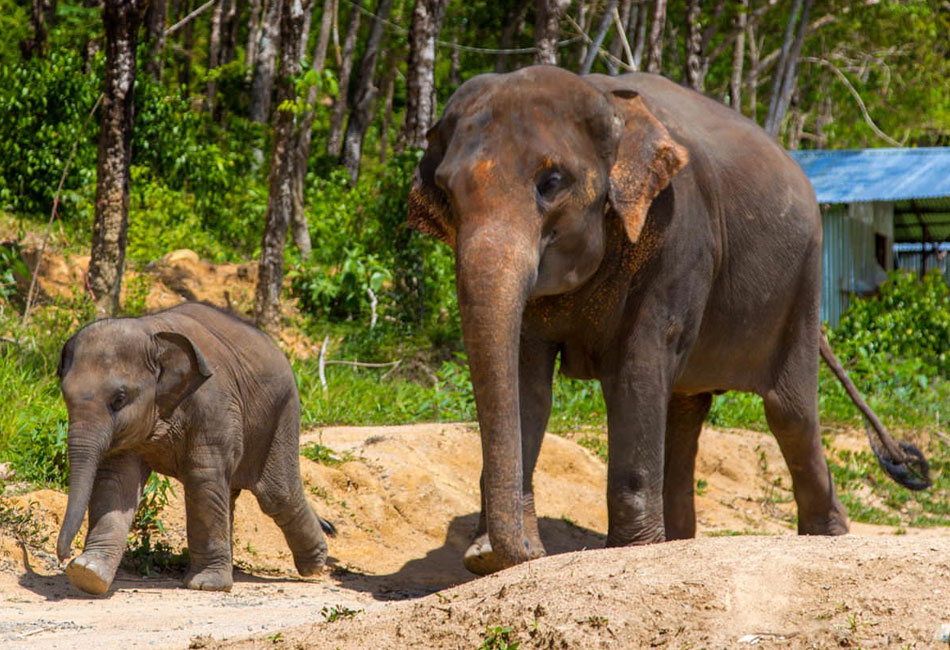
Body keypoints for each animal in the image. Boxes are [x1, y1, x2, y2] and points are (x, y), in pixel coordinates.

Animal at [55, 302, 332, 588]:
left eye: (119, 399)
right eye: (64, 394)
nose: (63, 556)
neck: (152, 333)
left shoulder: (213, 405)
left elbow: (203, 478)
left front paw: (207, 585)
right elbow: (117, 481)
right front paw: (88, 573)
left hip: (281, 415)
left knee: (278, 495)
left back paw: (314, 565)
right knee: (234, 493)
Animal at [408, 66, 928, 572]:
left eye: (550, 182)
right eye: (447, 193)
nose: (523, 551)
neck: (609, 104)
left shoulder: (680, 238)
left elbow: (637, 368)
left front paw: (624, 552)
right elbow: (525, 377)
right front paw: (490, 558)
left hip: (802, 285)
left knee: (790, 414)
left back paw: (826, 536)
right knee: (685, 411)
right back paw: (677, 541)